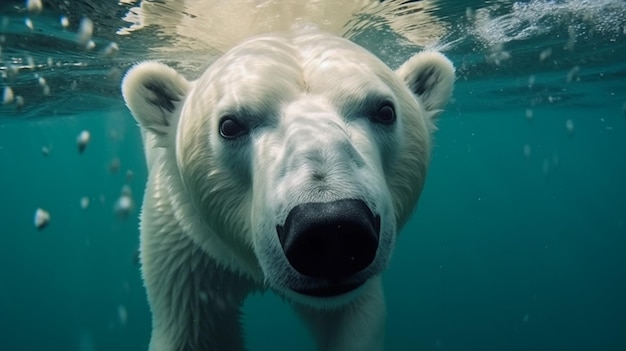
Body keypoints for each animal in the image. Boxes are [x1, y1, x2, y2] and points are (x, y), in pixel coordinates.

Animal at [122, 14, 450, 351]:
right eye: (229, 125)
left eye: (384, 111)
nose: (331, 228)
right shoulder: (187, 249)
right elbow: (196, 332)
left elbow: (354, 319)